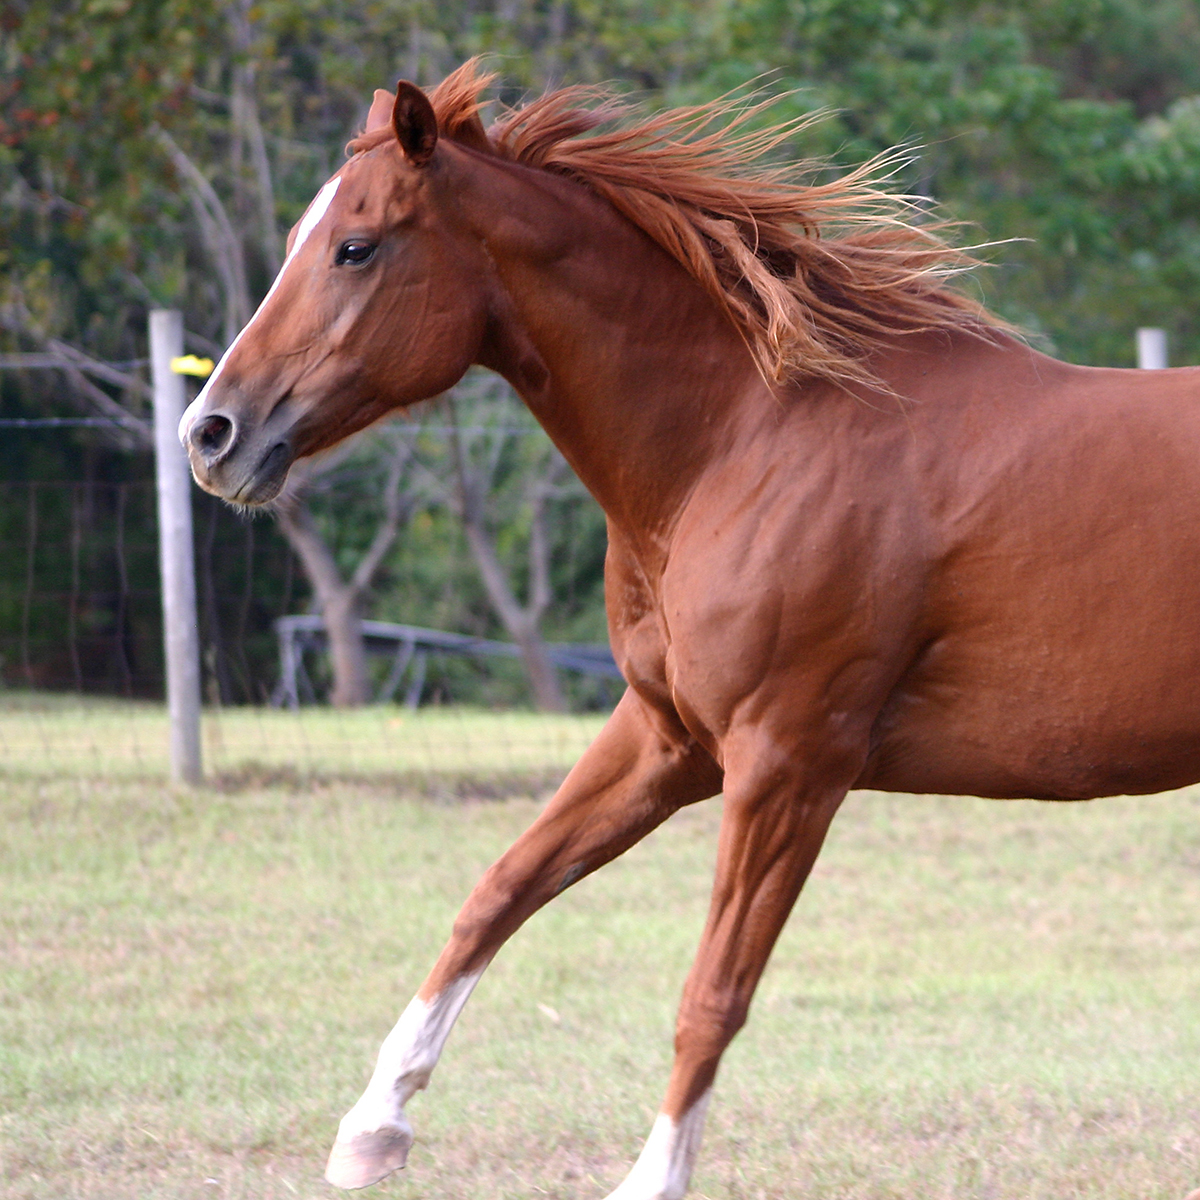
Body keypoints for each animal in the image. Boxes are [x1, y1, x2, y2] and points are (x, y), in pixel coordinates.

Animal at [177, 63, 1200, 1200]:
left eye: (355, 246)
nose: (211, 433)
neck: (746, 441)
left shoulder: (787, 765)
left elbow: (712, 993)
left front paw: (652, 1177)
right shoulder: (667, 740)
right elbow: (497, 892)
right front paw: (372, 1127)